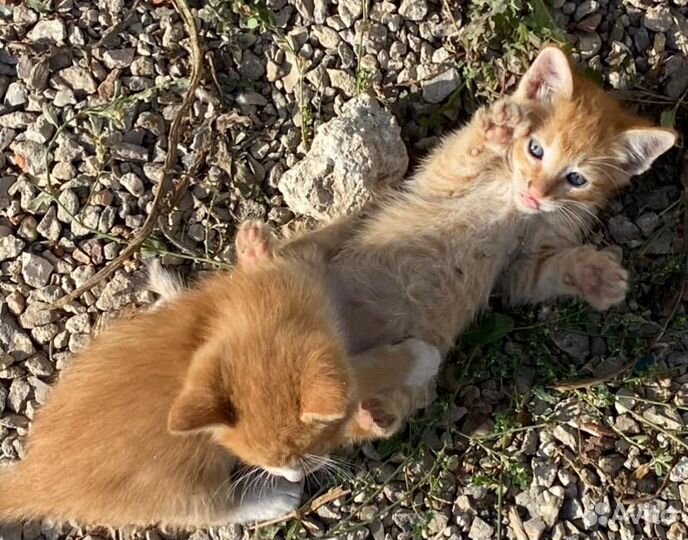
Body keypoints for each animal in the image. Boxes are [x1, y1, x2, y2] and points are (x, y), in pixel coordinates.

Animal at [0, 221, 440, 528]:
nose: (293, 472)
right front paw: (422, 356)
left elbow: (322, 237)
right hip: (174, 487)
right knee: (206, 511)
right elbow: (364, 371)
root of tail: (33, 476)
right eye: (287, 458)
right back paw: (274, 500)